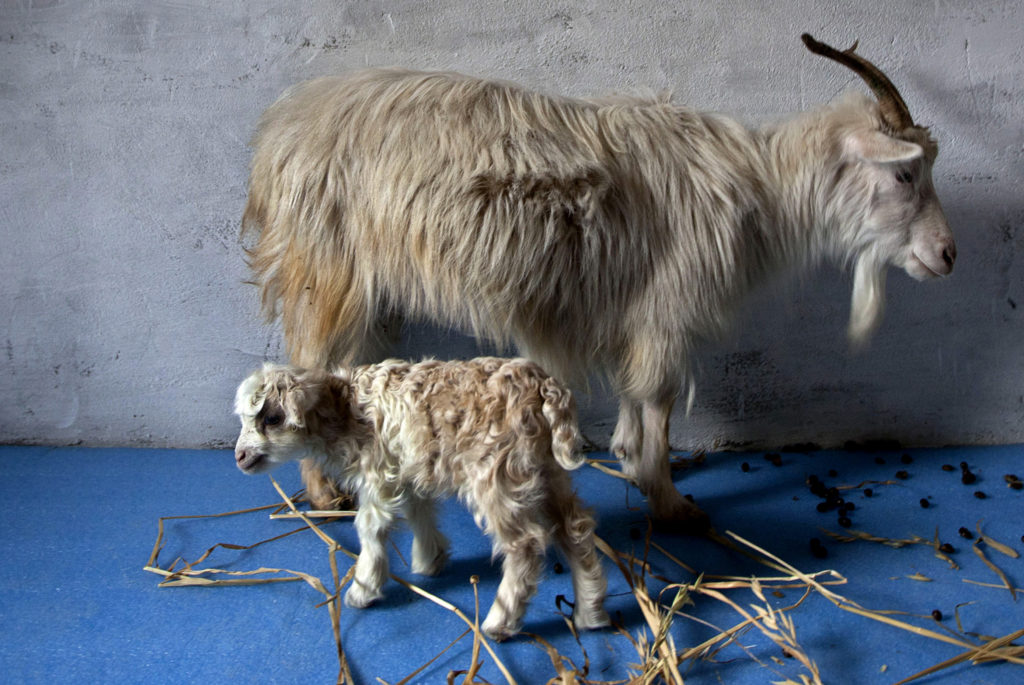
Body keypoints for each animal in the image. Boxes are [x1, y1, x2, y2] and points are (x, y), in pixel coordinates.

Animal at [232, 356, 606, 638]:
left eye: (273, 418)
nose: (239, 457)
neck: (347, 408)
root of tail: (542, 384)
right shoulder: (405, 468)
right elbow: (418, 511)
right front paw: (429, 559)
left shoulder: (377, 473)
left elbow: (370, 527)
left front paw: (364, 588)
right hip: (544, 469)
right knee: (574, 528)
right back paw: (590, 611)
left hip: (498, 473)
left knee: (525, 544)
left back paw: (500, 623)